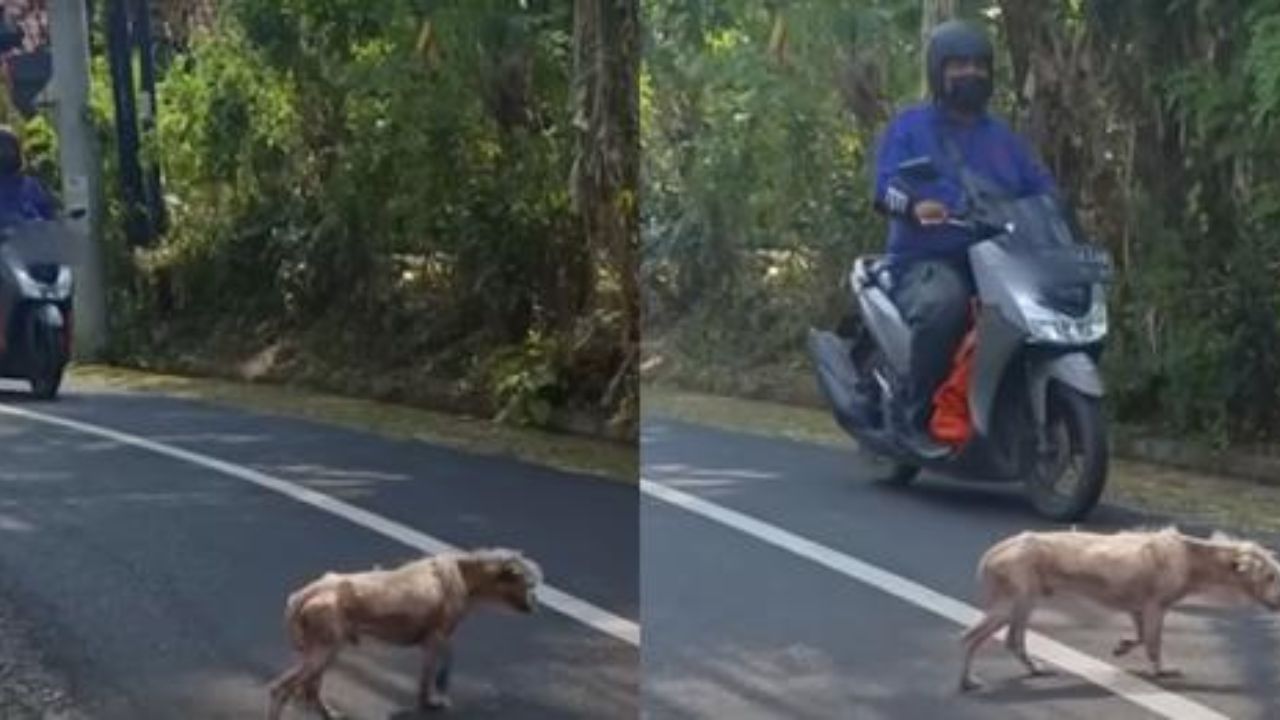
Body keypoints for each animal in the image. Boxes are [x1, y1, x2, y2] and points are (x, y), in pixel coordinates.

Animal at [267, 545, 542, 712]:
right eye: (527, 584)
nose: (533, 605)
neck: (465, 576)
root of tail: (303, 594)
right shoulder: (437, 636)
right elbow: (435, 671)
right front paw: (432, 698)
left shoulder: (436, 638)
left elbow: (440, 665)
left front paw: (435, 693)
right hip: (325, 649)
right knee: (281, 689)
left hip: (326, 649)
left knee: (308, 691)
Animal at [962, 527, 1280, 691]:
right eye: (1270, 576)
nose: (1278, 604)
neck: (1192, 559)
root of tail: (993, 551)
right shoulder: (1155, 608)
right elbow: (1154, 645)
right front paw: (1161, 671)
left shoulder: (1138, 608)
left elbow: (1140, 638)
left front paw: (1122, 646)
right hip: (1011, 605)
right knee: (971, 638)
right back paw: (967, 681)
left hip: (1025, 604)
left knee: (1014, 641)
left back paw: (1035, 669)